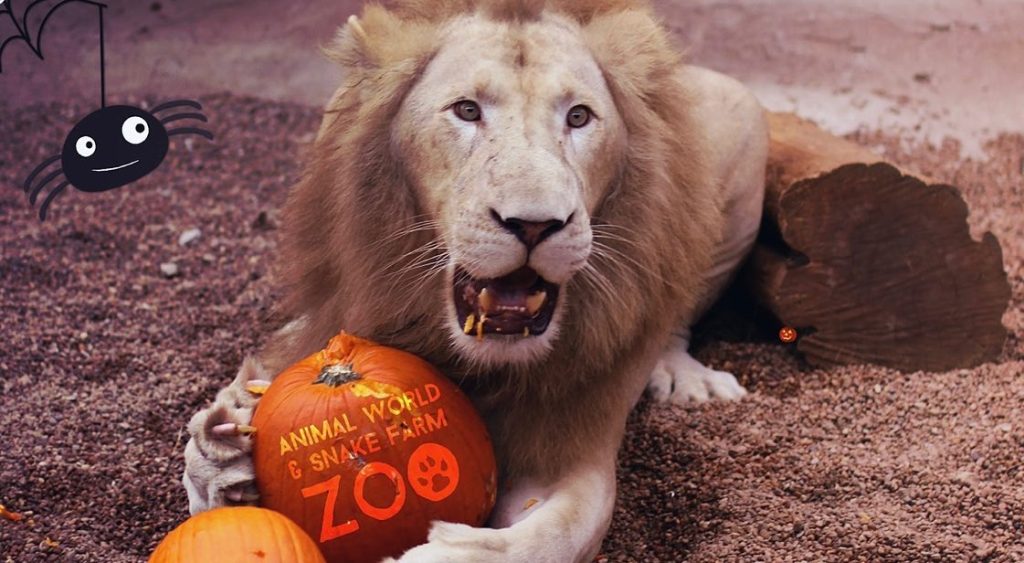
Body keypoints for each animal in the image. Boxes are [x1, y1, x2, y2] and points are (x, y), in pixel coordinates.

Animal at [182, 0, 768, 561]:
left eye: (579, 116)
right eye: (467, 110)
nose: (535, 224)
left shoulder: (572, 442)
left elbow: (556, 532)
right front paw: (222, 445)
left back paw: (685, 376)